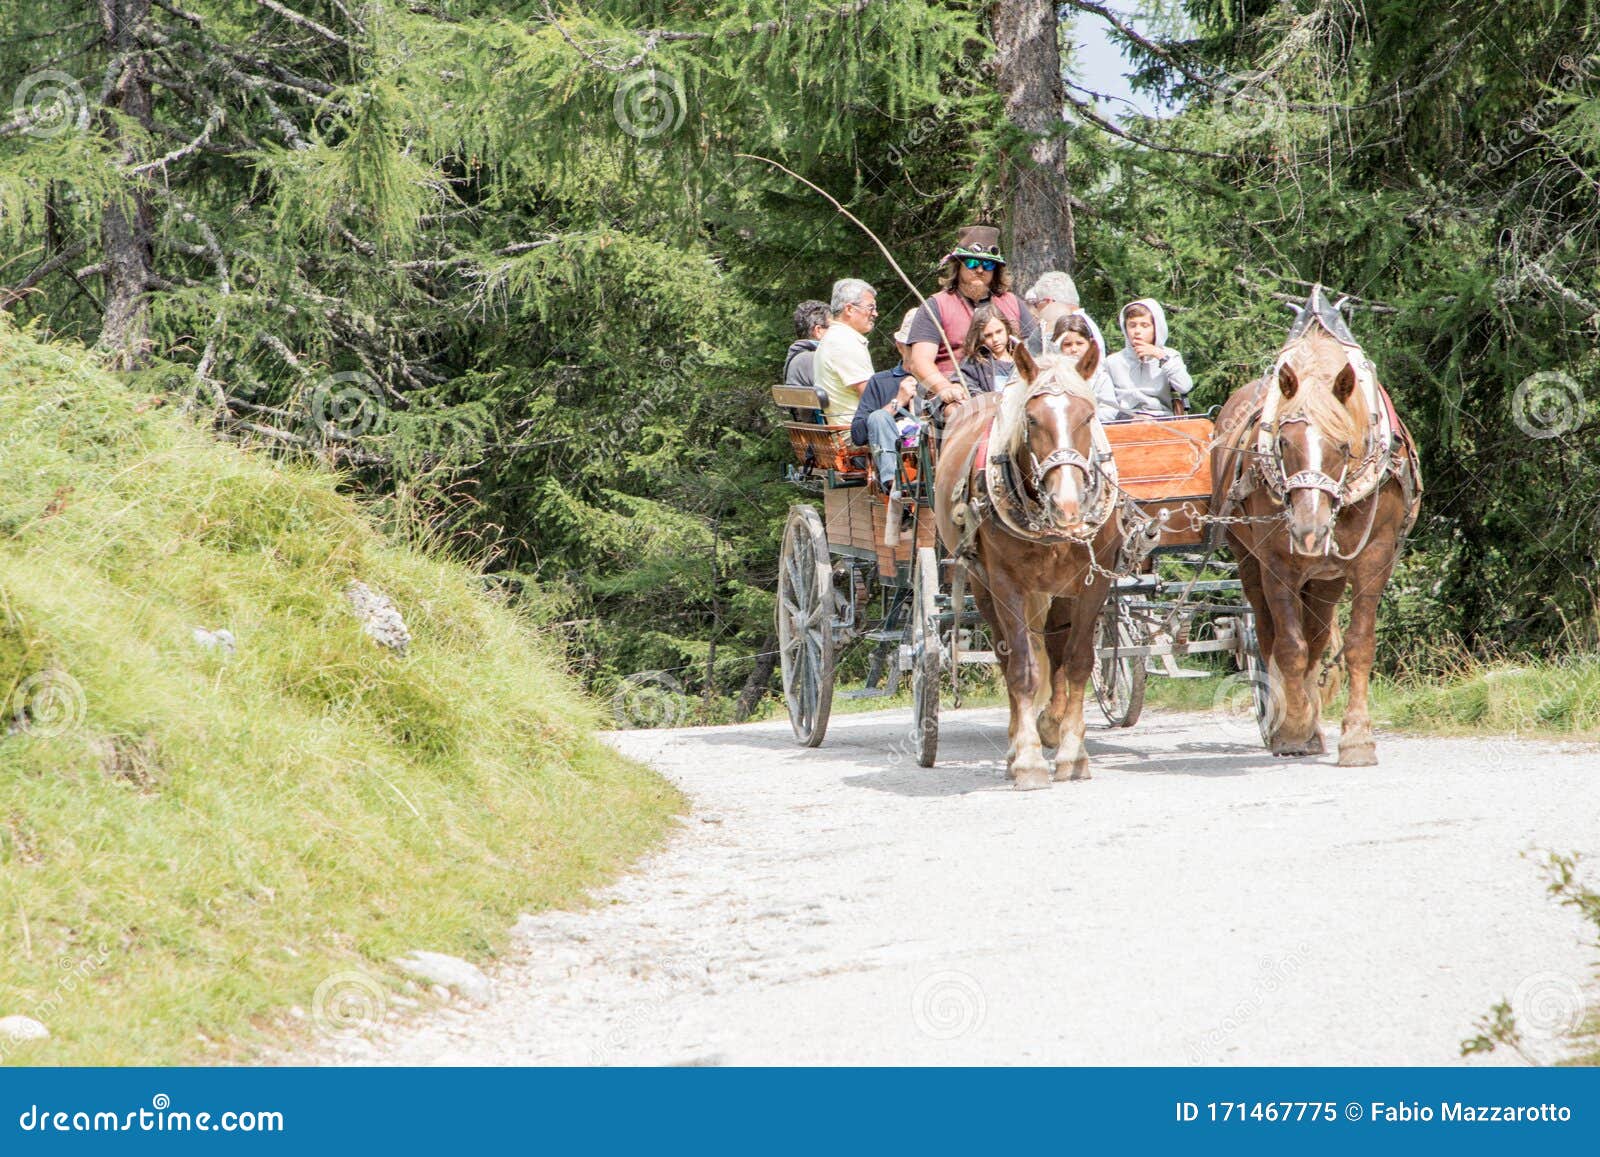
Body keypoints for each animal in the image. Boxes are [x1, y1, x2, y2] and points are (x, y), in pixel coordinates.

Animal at [933, 342, 1123, 790]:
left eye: (1087, 416)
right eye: (1032, 419)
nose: (1068, 504)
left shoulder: (1092, 583)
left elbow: (1077, 663)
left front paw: (1072, 754)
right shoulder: (1007, 586)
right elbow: (1023, 668)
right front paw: (1029, 761)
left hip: (1058, 593)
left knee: (1056, 649)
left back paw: (1050, 724)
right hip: (983, 587)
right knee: (1009, 660)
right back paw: (1015, 747)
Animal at [1210, 287, 1422, 765]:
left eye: (1343, 445)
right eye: (1282, 443)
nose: (1310, 530)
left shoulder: (1373, 559)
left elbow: (1357, 645)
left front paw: (1356, 738)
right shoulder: (1277, 563)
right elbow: (1289, 647)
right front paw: (1292, 728)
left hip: (1326, 577)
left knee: (1320, 635)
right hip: (1249, 561)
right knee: (1270, 634)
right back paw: (1287, 720)